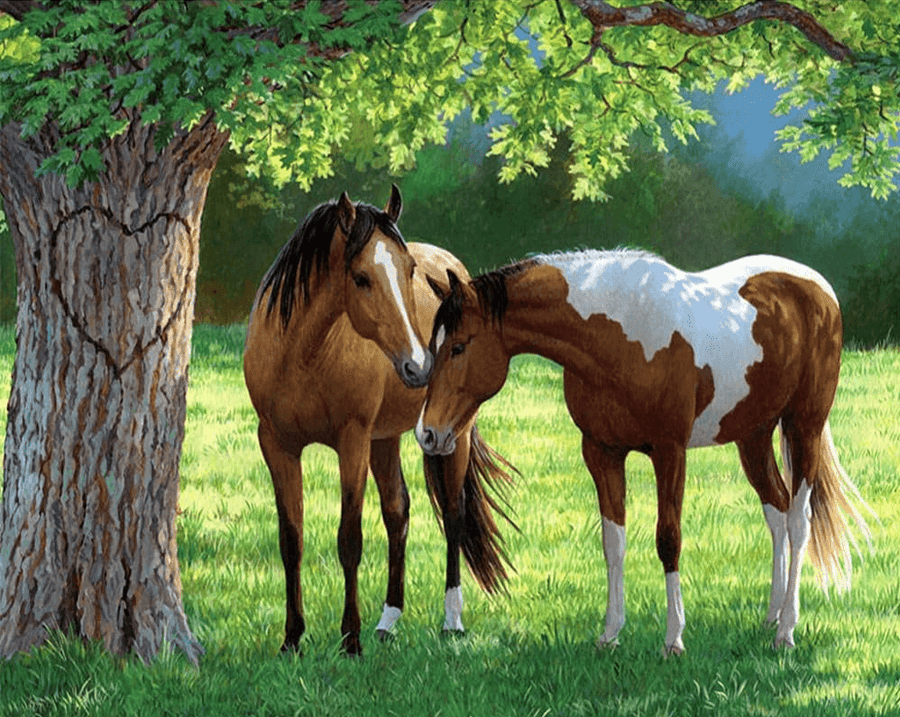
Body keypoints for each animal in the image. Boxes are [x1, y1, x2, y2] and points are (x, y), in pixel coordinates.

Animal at [243, 186, 514, 656]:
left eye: (409, 270)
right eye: (361, 278)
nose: (419, 366)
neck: (299, 356)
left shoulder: (352, 440)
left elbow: (349, 538)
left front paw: (349, 639)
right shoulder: (277, 445)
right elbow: (291, 540)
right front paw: (292, 639)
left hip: (451, 435)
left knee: (454, 513)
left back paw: (451, 621)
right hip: (385, 440)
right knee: (397, 511)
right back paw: (388, 620)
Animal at [415, 248, 873, 655]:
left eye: (459, 346)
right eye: (433, 346)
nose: (428, 434)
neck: (620, 338)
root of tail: (818, 287)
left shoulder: (669, 452)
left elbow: (668, 539)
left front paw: (674, 640)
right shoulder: (601, 452)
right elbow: (613, 542)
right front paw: (610, 634)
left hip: (803, 426)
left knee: (798, 520)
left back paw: (786, 631)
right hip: (753, 436)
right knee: (776, 512)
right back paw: (771, 616)